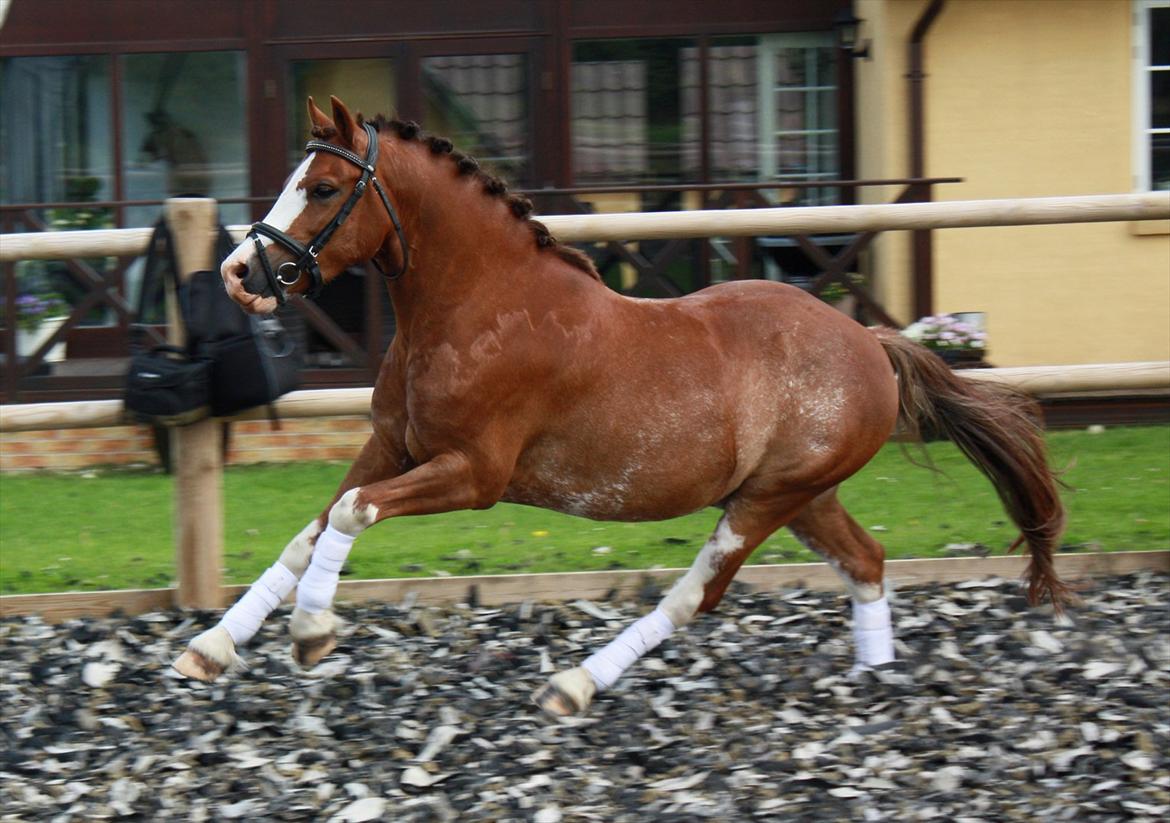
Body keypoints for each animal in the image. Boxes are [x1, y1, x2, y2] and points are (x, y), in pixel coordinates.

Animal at [175, 94, 1071, 716]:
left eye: (324, 187)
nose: (240, 275)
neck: (476, 308)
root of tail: (872, 344)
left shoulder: (473, 473)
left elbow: (352, 513)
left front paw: (312, 634)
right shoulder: (391, 446)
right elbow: (311, 530)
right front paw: (210, 648)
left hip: (768, 500)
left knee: (697, 594)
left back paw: (574, 684)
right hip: (802, 495)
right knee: (867, 560)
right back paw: (873, 679)